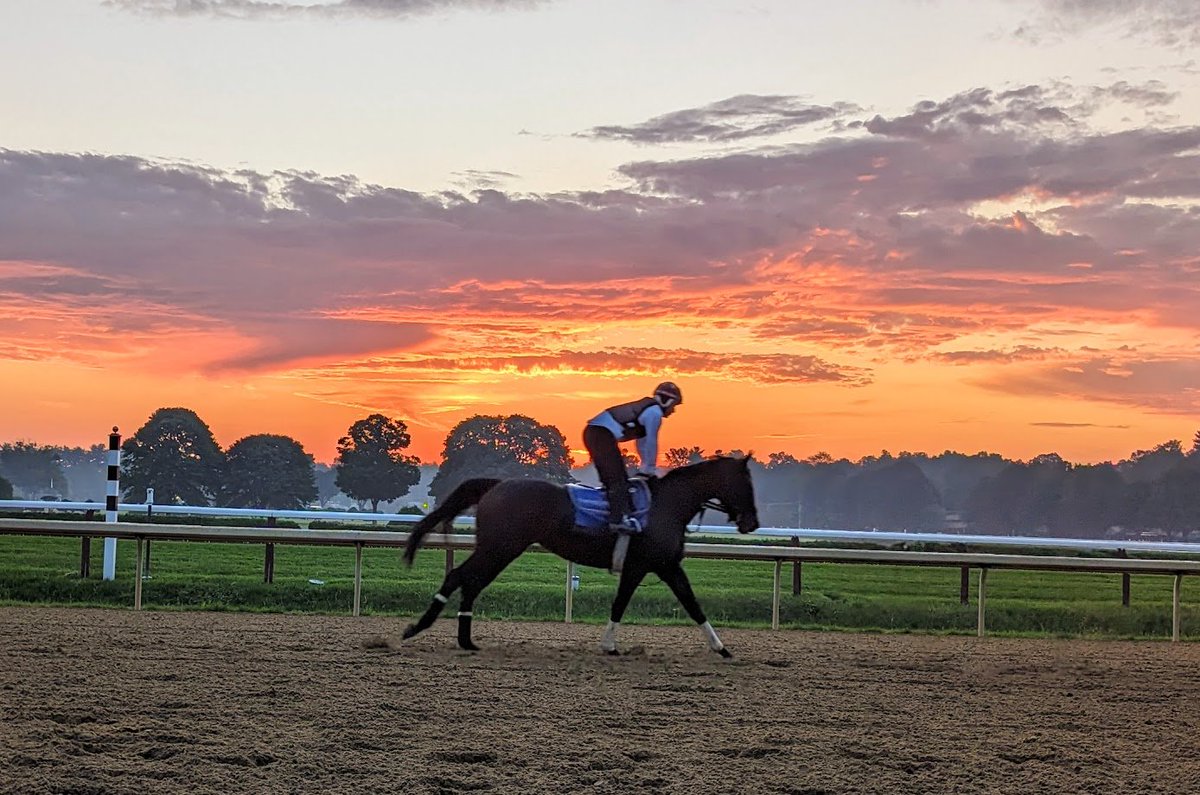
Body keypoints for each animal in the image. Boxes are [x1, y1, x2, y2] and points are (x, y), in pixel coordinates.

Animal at [401, 455, 760, 656]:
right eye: (746, 483)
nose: (752, 523)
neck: (666, 506)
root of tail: (497, 484)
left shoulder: (659, 566)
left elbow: (684, 602)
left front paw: (721, 647)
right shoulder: (649, 566)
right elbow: (637, 603)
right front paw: (609, 646)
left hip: (500, 550)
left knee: (471, 582)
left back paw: (466, 641)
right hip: (499, 547)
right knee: (459, 577)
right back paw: (417, 628)